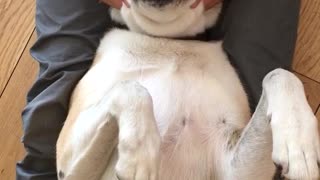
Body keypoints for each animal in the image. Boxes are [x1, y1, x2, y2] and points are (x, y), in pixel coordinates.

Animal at [55, 0, 320, 179]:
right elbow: (131, 87)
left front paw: (299, 143)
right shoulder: (68, 166)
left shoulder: (233, 170)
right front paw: (141, 155)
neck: (168, 41)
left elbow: (280, 74)